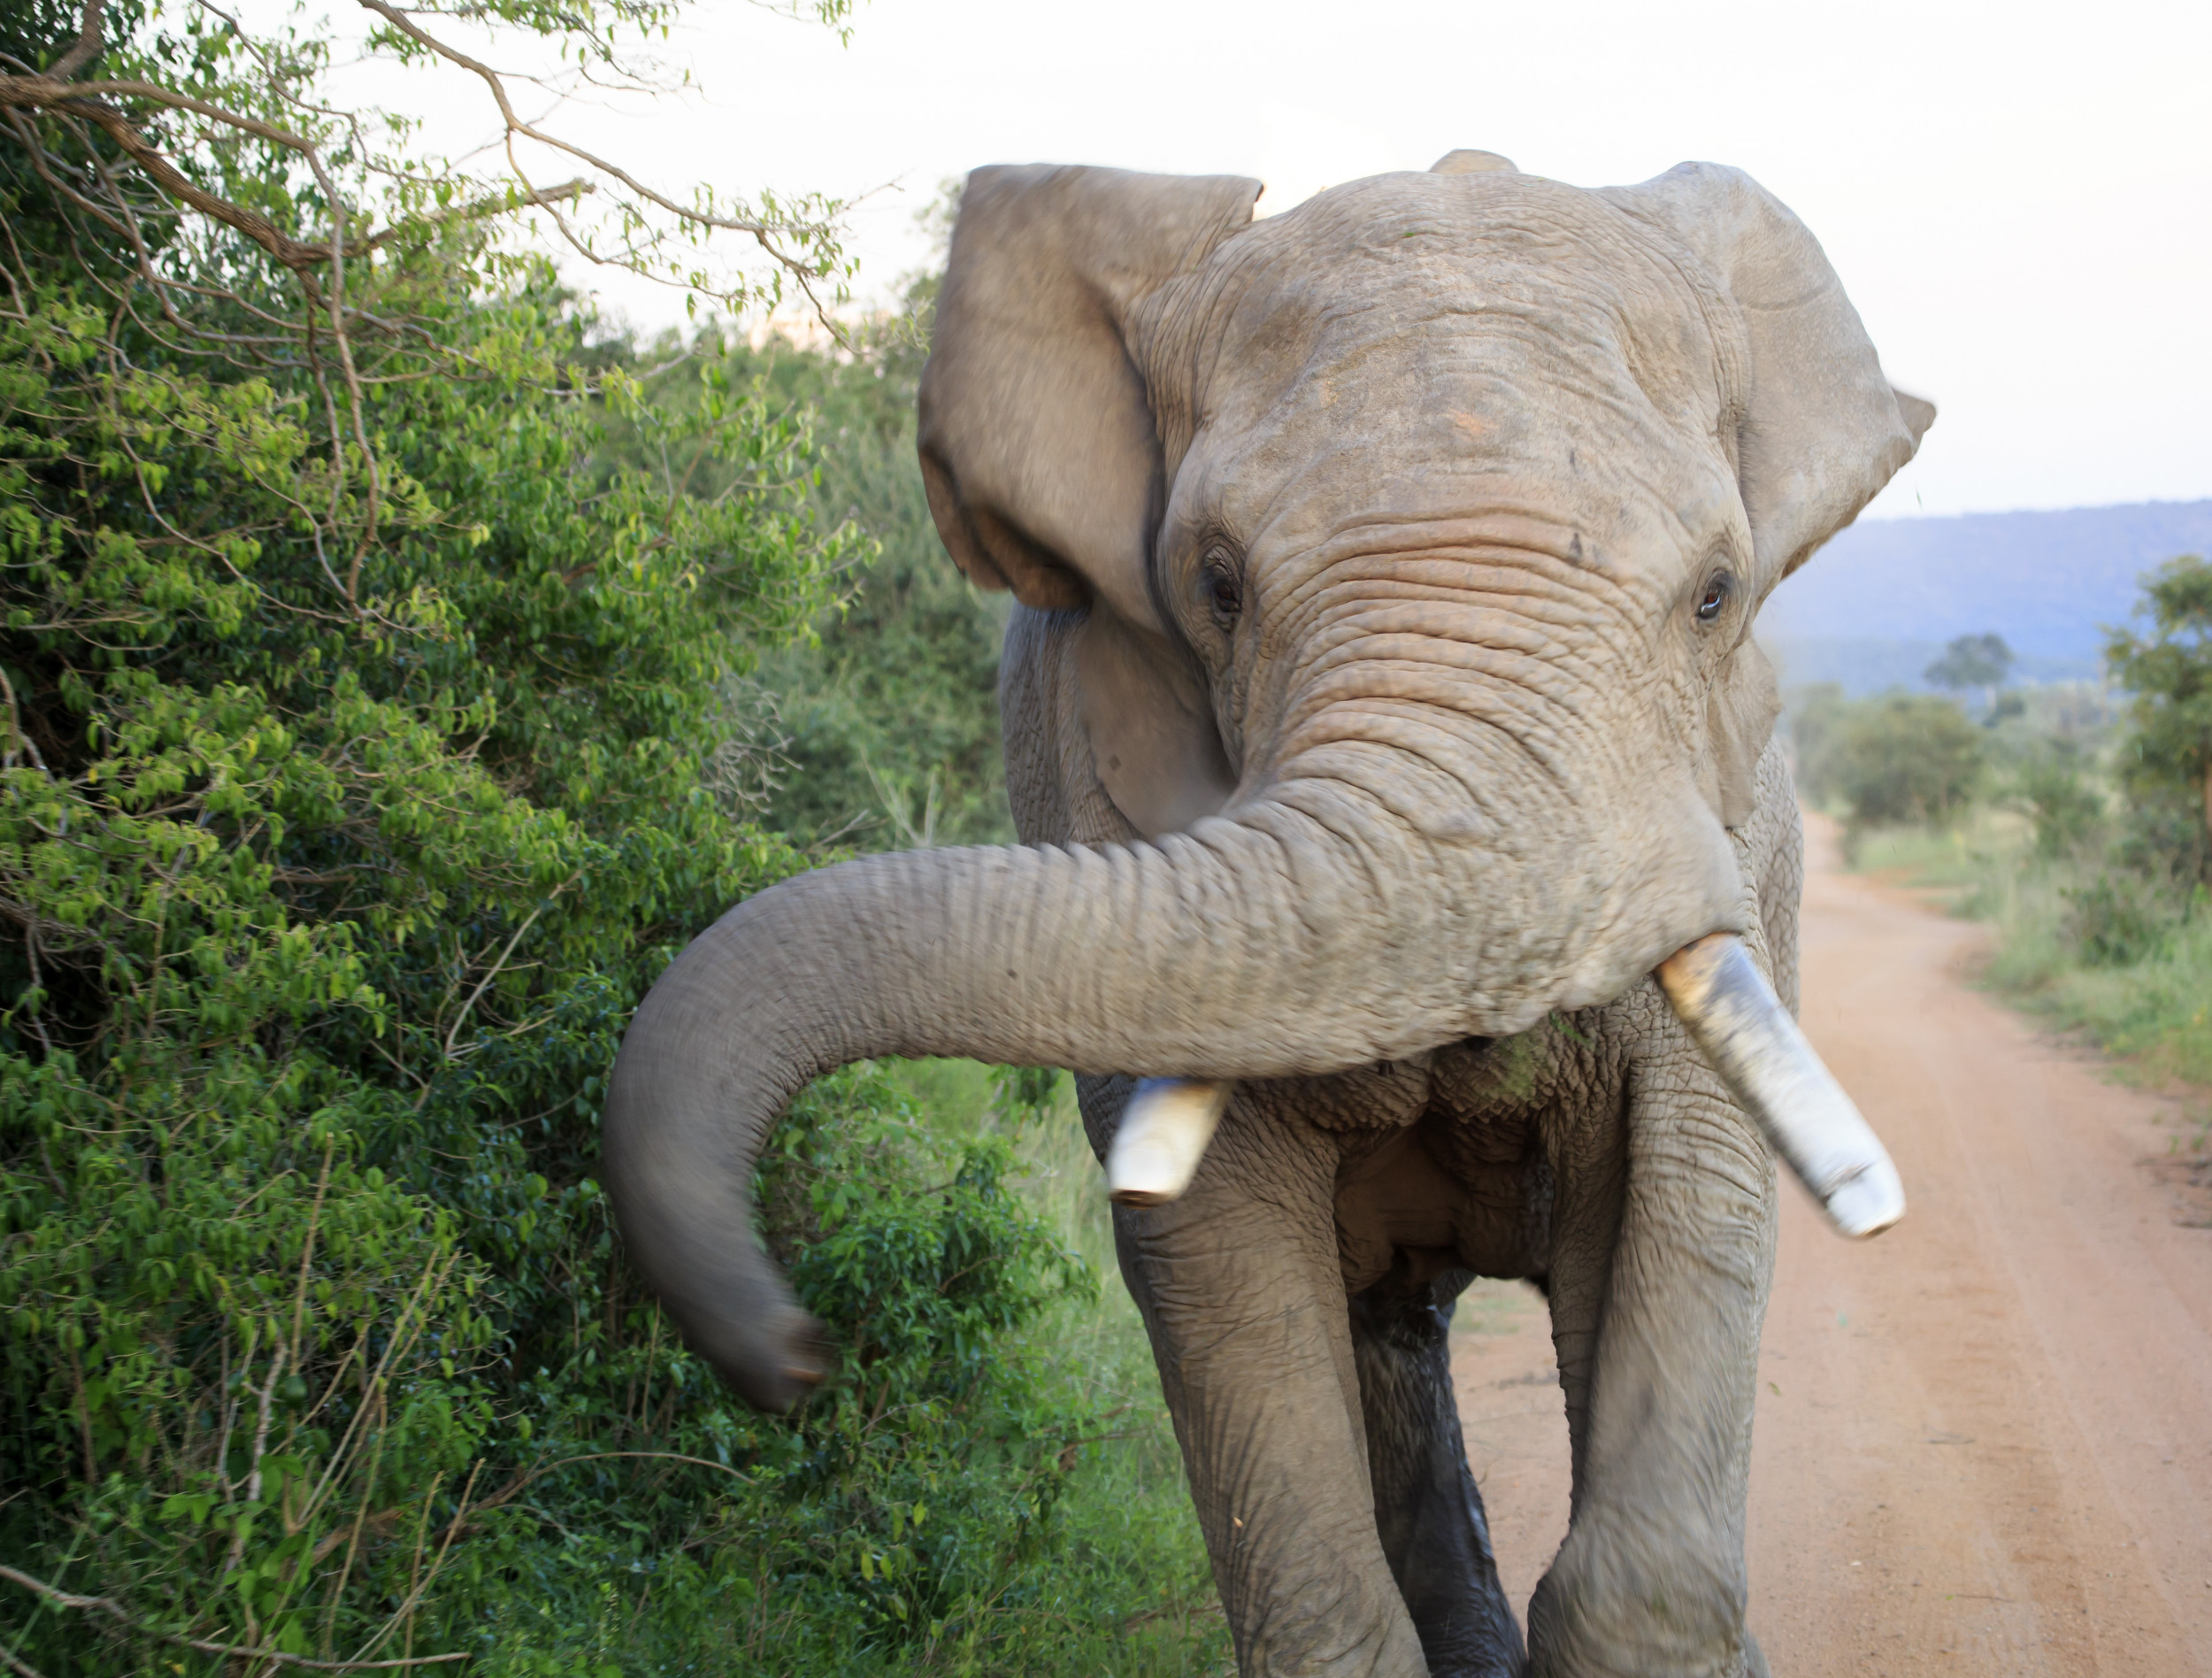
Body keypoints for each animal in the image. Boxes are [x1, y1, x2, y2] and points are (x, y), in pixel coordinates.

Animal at [606, 148, 1938, 1678]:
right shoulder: (1097, 768)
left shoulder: (1734, 832)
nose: (801, 1356)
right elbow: (1214, 1256)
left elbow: (1699, 1175)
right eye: (1217, 586)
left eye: (1718, 596)